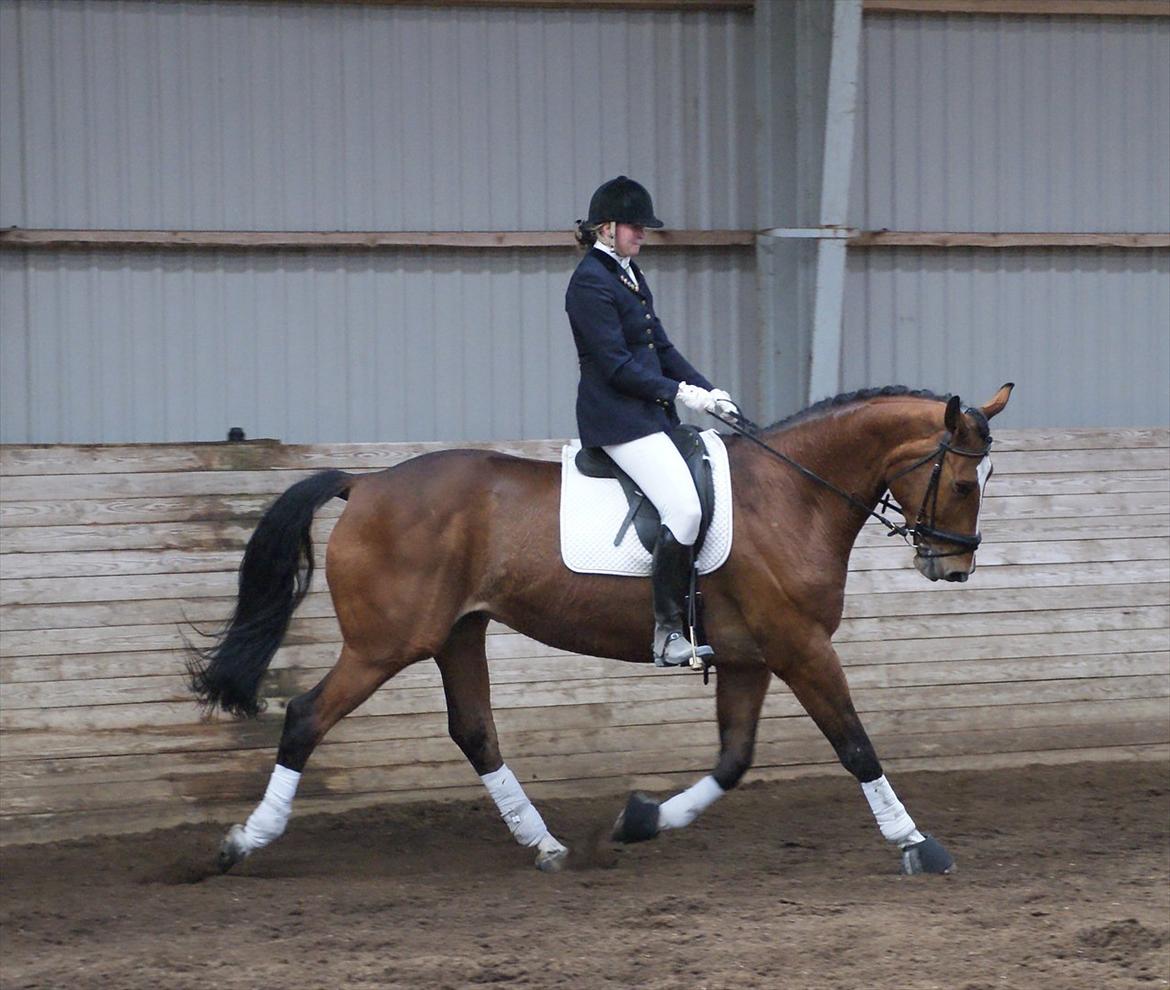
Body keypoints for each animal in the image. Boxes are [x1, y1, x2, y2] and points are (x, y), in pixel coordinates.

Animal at [191, 386, 1015, 875]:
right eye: (963, 481)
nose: (953, 567)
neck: (792, 494)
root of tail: (365, 484)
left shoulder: (750, 657)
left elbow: (734, 761)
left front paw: (640, 820)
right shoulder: (800, 647)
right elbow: (855, 745)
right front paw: (918, 844)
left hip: (458, 634)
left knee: (475, 733)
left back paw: (548, 846)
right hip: (385, 644)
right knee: (306, 718)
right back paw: (239, 843)